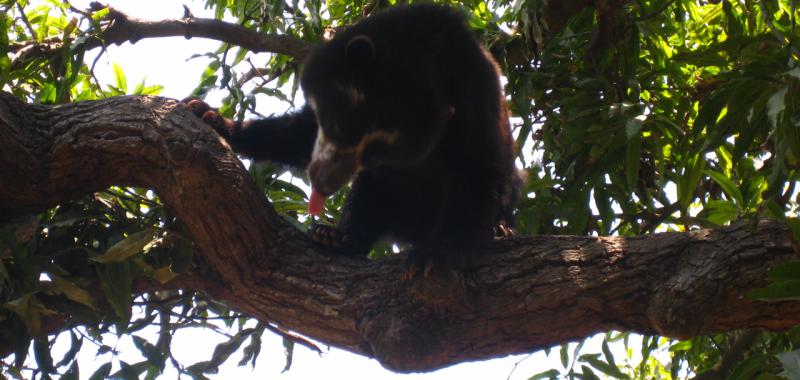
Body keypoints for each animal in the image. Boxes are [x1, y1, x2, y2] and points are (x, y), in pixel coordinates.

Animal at [189, 2, 524, 270]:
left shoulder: (473, 93)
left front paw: (438, 254)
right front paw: (214, 119)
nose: (323, 183)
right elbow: (301, 132)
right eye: (336, 125)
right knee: (369, 194)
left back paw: (500, 229)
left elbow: (477, 168)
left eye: (376, 151)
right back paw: (338, 237)